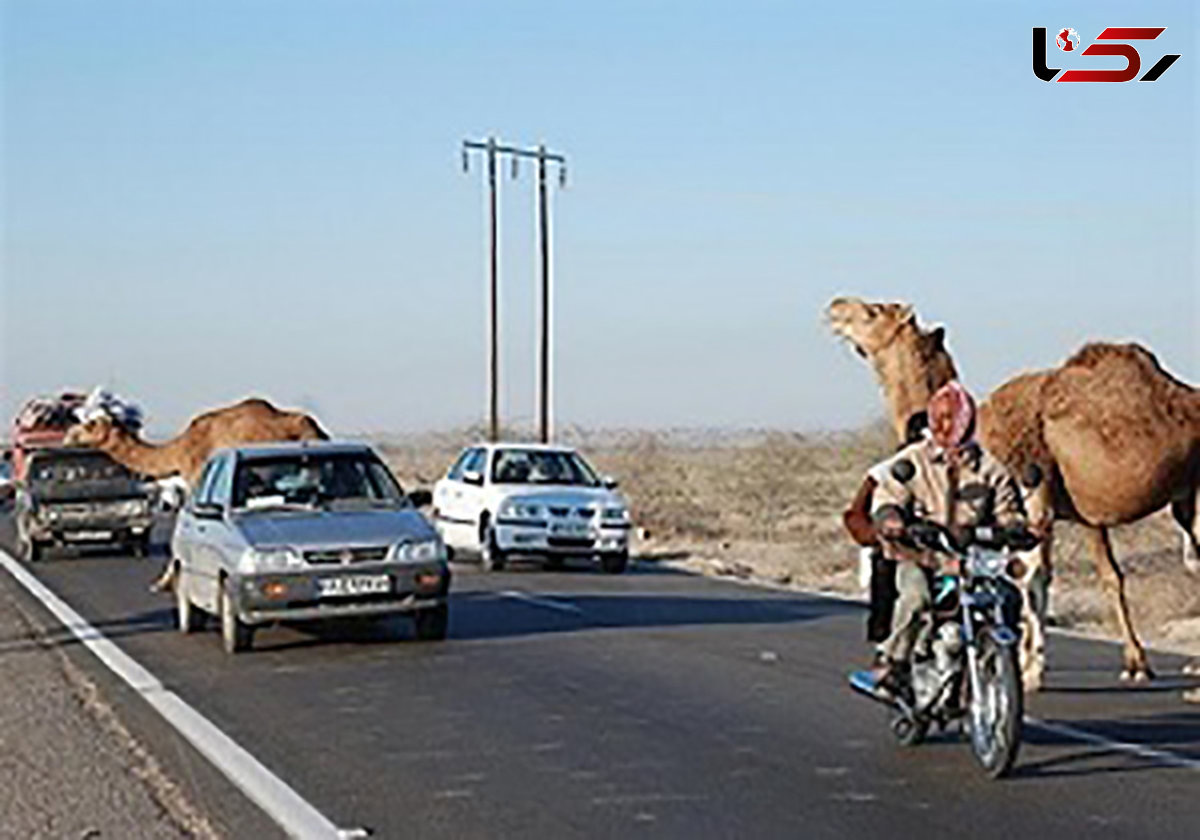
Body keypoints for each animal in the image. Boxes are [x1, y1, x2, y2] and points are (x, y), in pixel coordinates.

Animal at [825, 298, 1200, 686]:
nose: (835, 307)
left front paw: (1030, 669)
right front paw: (1133, 663)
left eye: (873, 311)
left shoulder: (1031, 491)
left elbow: (1030, 574)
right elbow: (1096, 575)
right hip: (1185, 497)